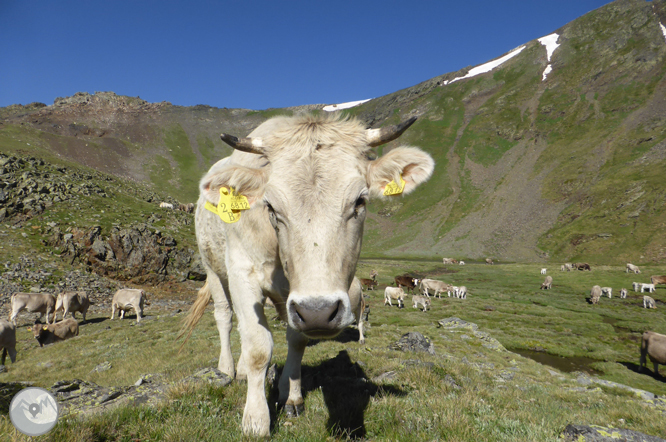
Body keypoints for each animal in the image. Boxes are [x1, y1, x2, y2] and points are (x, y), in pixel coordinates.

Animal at [179, 112, 434, 436]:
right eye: (270, 206)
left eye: (360, 201)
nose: (319, 312)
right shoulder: (241, 272)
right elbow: (258, 346)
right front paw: (255, 419)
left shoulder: (296, 301)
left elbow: (296, 340)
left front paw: (291, 395)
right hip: (212, 267)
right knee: (224, 316)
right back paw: (227, 368)